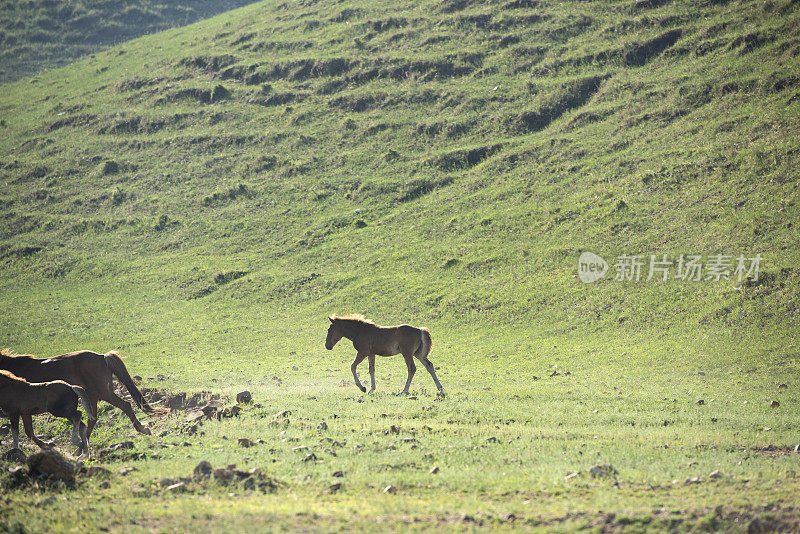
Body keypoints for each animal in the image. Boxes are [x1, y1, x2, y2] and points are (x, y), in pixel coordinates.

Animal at [0, 348, 162, 444]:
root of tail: (102, 357)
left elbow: (28, 432)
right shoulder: (24, 410)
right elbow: (29, 432)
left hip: (102, 393)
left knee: (124, 406)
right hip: (93, 395)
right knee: (93, 418)